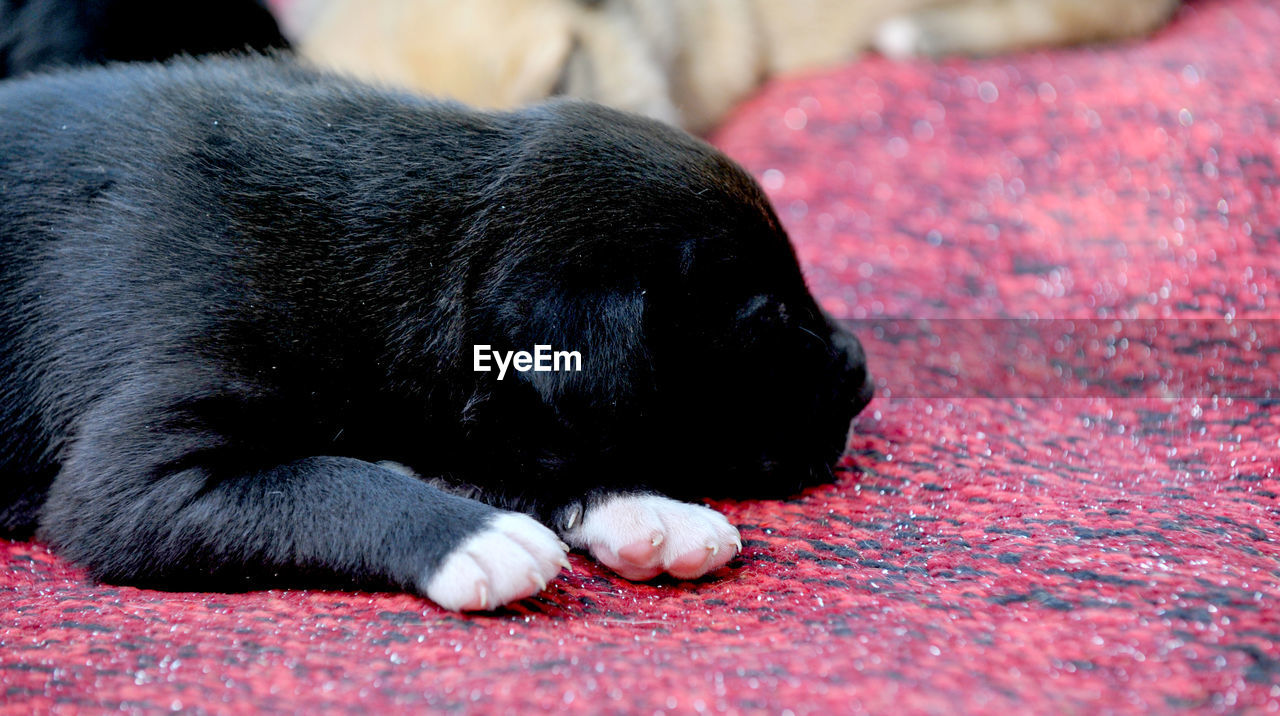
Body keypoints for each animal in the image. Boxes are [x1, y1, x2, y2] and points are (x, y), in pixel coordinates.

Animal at [0, 58, 870, 614]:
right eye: (768, 320)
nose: (863, 375)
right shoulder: (143, 473)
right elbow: (325, 480)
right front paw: (477, 539)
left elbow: (490, 449)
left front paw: (647, 510)